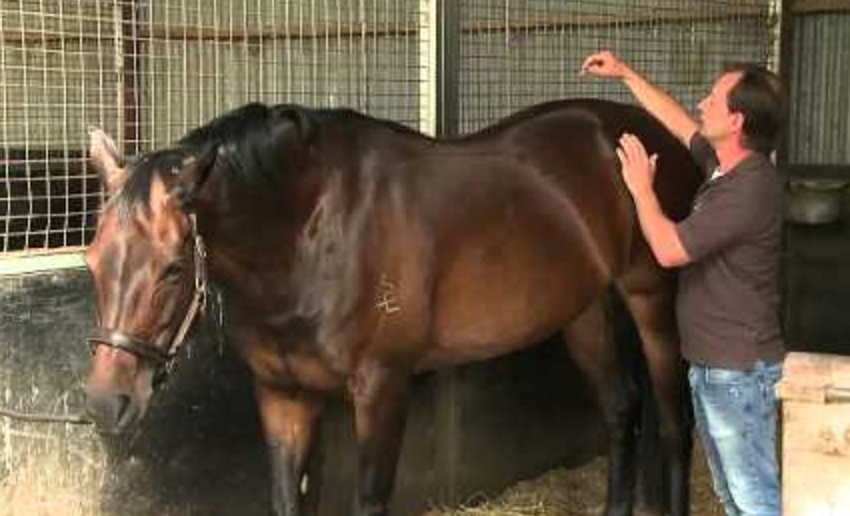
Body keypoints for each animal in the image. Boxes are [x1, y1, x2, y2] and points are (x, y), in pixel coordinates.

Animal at [83, 98, 701, 516]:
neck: (306, 232)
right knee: (621, 410)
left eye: (173, 268)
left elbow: (371, 499)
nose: (107, 403)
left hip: (654, 300)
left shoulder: (382, 388)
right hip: (585, 312)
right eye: (91, 260)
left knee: (676, 421)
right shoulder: (282, 394)